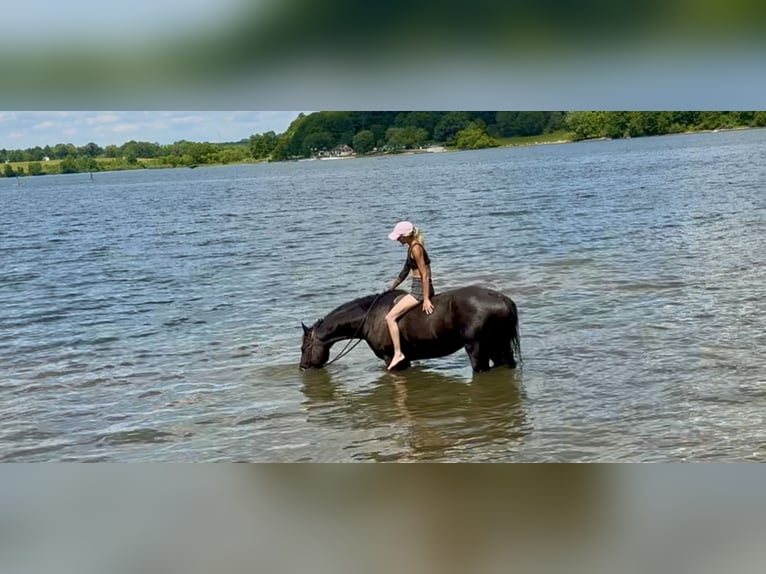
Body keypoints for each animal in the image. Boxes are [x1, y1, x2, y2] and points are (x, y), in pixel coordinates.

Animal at [300, 285, 520, 372]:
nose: (302, 367)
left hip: (477, 349)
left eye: (304, 348)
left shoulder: (392, 359)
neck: (369, 318)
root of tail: (503, 299)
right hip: (499, 347)